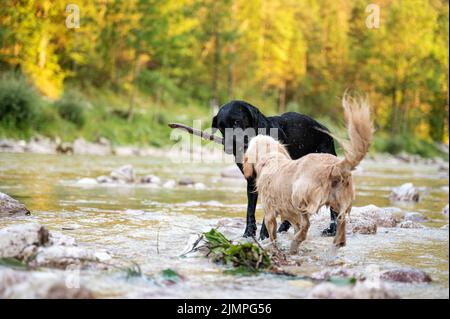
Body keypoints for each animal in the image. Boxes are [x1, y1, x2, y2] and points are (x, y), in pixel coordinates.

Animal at [212, 100, 338, 240]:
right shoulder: (252, 181)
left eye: (236, 122)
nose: (229, 147)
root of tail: (325, 129)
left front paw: (264, 235)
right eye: (221, 127)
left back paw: (332, 229)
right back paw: (284, 228)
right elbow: (250, 210)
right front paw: (249, 233)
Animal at [243, 95, 372, 255]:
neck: (271, 158)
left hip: (299, 196)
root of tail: (333, 167)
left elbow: (272, 233)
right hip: (340, 201)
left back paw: (295, 243)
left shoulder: (269, 212)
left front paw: (271, 245)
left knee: (306, 224)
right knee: (340, 220)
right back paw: (338, 241)